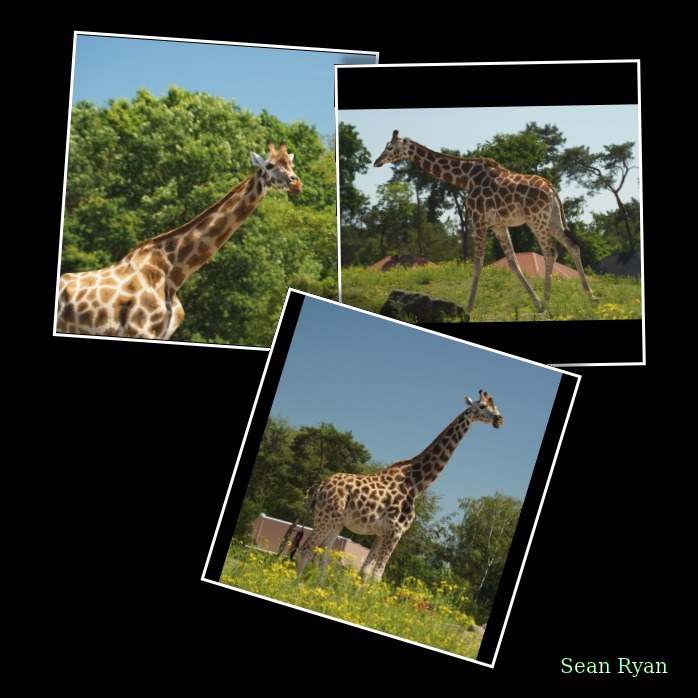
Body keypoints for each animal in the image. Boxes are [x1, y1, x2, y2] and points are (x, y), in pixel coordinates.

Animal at [296, 390, 504, 582]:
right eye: (482, 406)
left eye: (495, 406)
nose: (500, 420)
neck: (417, 483)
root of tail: (320, 486)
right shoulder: (396, 532)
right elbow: (377, 575)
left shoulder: (382, 533)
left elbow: (365, 571)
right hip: (327, 518)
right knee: (305, 549)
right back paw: (297, 586)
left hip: (337, 522)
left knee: (322, 555)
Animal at [373, 130, 594, 315]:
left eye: (390, 147)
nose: (377, 161)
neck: (466, 178)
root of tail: (552, 190)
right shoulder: (499, 226)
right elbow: (513, 263)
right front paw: (536, 301)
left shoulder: (478, 219)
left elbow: (478, 263)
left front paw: (468, 307)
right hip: (553, 219)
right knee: (572, 246)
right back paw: (589, 295)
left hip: (536, 220)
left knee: (550, 252)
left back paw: (548, 303)